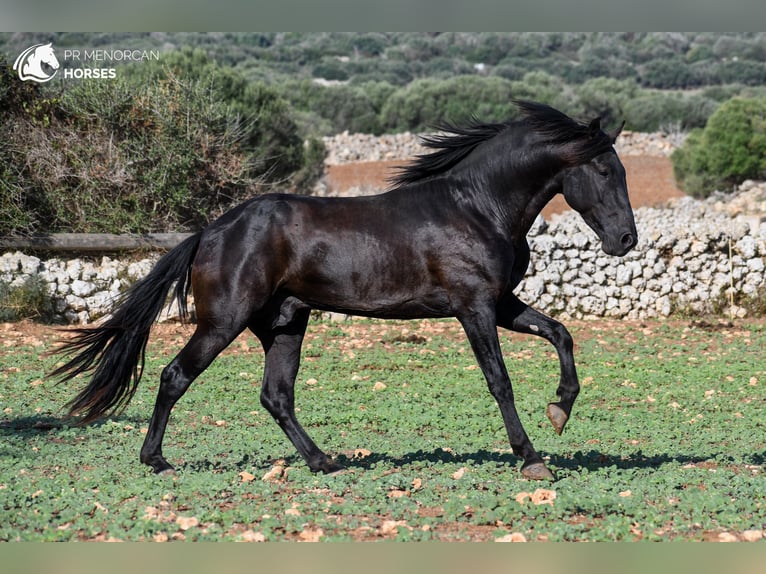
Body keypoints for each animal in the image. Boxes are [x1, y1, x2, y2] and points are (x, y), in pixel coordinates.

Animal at [52, 102, 636, 482]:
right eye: (605, 169)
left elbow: (560, 333)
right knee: (176, 376)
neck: (477, 206)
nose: (626, 239)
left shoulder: (501, 303)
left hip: (285, 324)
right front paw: (532, 458)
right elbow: (501, 382)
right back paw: (155, 460)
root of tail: (210, 232)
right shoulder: (473, 307)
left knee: (276, 395)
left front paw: (560, 409)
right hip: (224, 321)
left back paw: (323, 461)